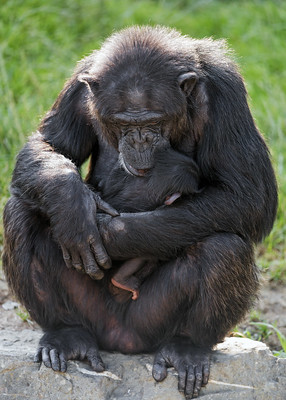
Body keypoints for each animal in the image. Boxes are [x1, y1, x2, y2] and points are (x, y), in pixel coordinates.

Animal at [2, 26, 278, 398]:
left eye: (154, 121)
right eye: (122, 123)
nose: (139, 140)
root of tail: (122, 341)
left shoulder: (226, 91)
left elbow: (248, 194)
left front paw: (109, 234)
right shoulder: (78, 83)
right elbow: (48, 145)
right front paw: (71, 206)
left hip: (152, 321)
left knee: (224, 246)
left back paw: (186, 348)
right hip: (90, 313)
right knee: (21, 213)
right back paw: (66, 335)